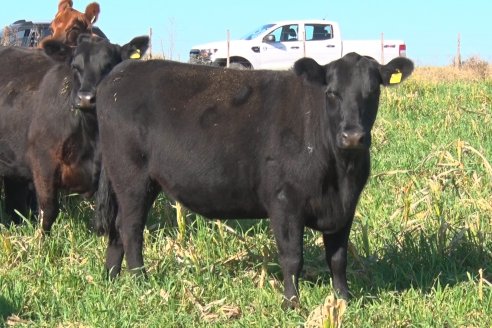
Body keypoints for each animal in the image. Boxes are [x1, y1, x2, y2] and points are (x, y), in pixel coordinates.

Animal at [94, 53, 414, 308]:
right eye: (332, 93)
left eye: (372, 91)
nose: (353, 136)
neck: (340, 173)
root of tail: (120, 73)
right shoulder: (285, 201)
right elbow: (292, 257)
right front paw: (292, 303)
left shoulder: (345, 207)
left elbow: (337, 257)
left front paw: (344, 300)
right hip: (132, 178)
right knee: (131, 228)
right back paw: (140, 281)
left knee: (118, 228)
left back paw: (111, 278)